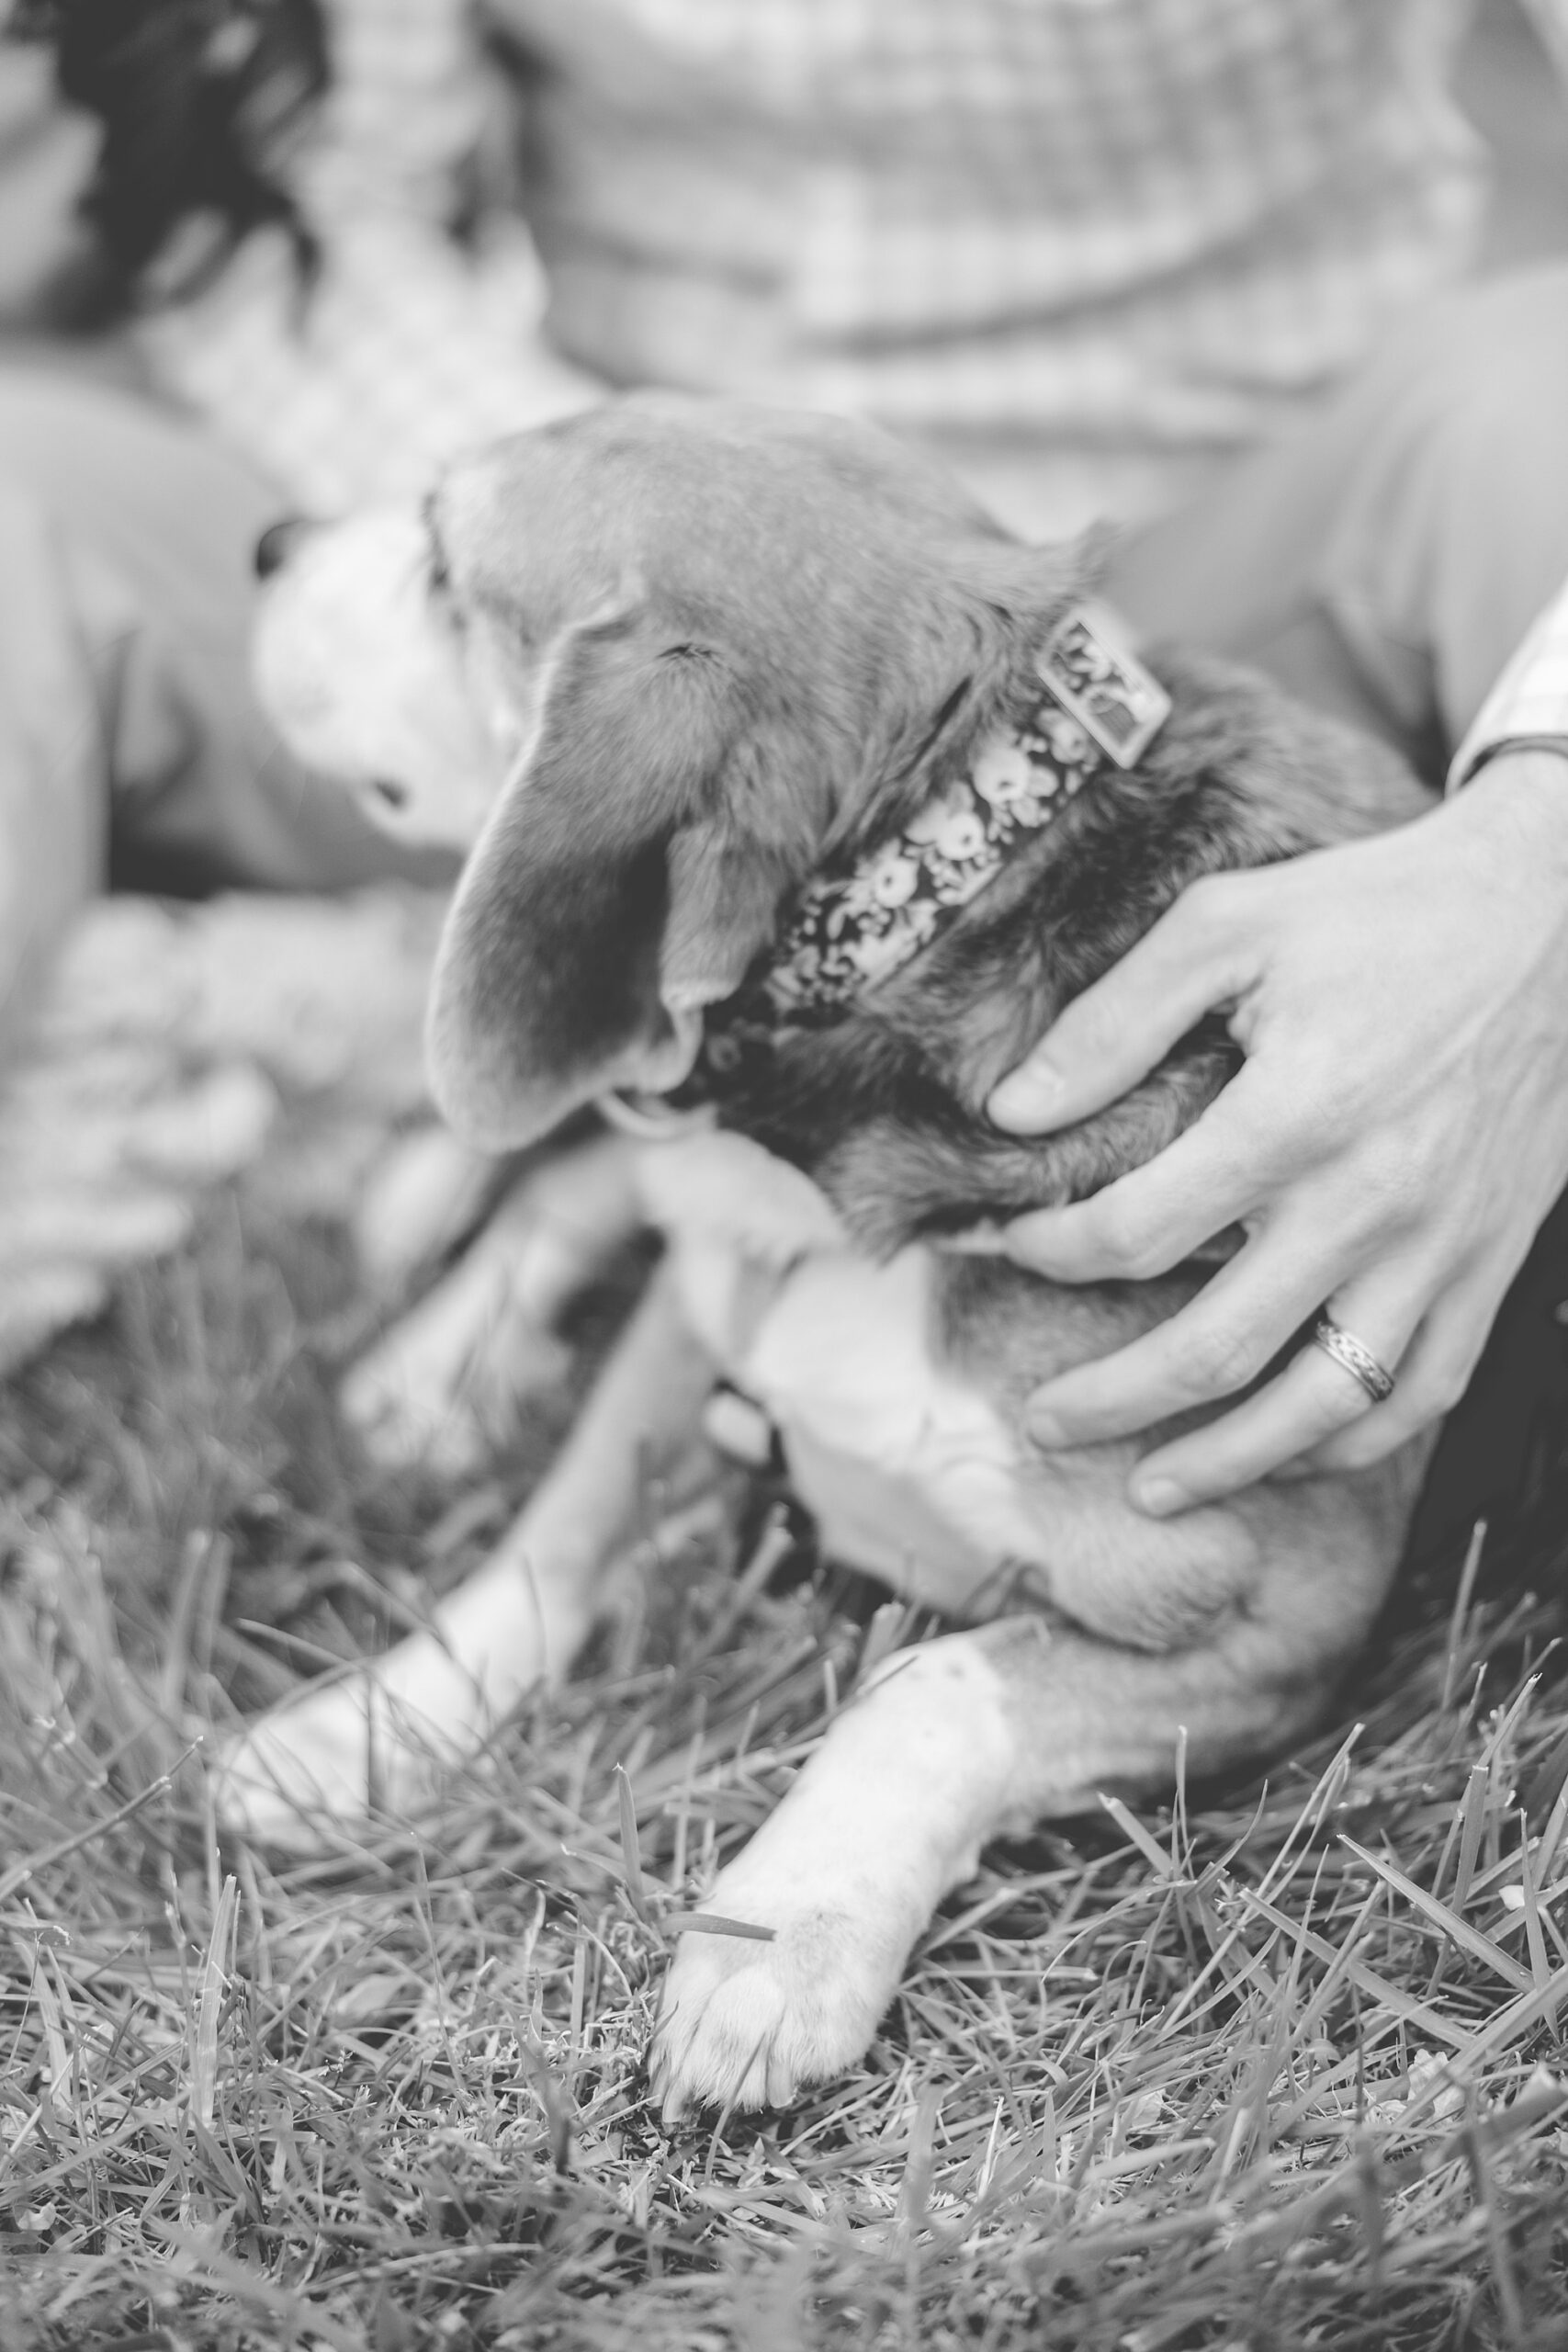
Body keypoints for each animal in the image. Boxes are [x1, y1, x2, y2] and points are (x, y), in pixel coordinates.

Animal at [230, 395, 1438, 2126]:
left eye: (444, 561)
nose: (263, 542)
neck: (943, 884)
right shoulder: (708, 1309)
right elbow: (551, 1531)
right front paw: (370, 1731)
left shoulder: (1292, 1615)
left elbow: (921, 1691)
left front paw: (779, 1935)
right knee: (574, 1190)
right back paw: (431, 1369)